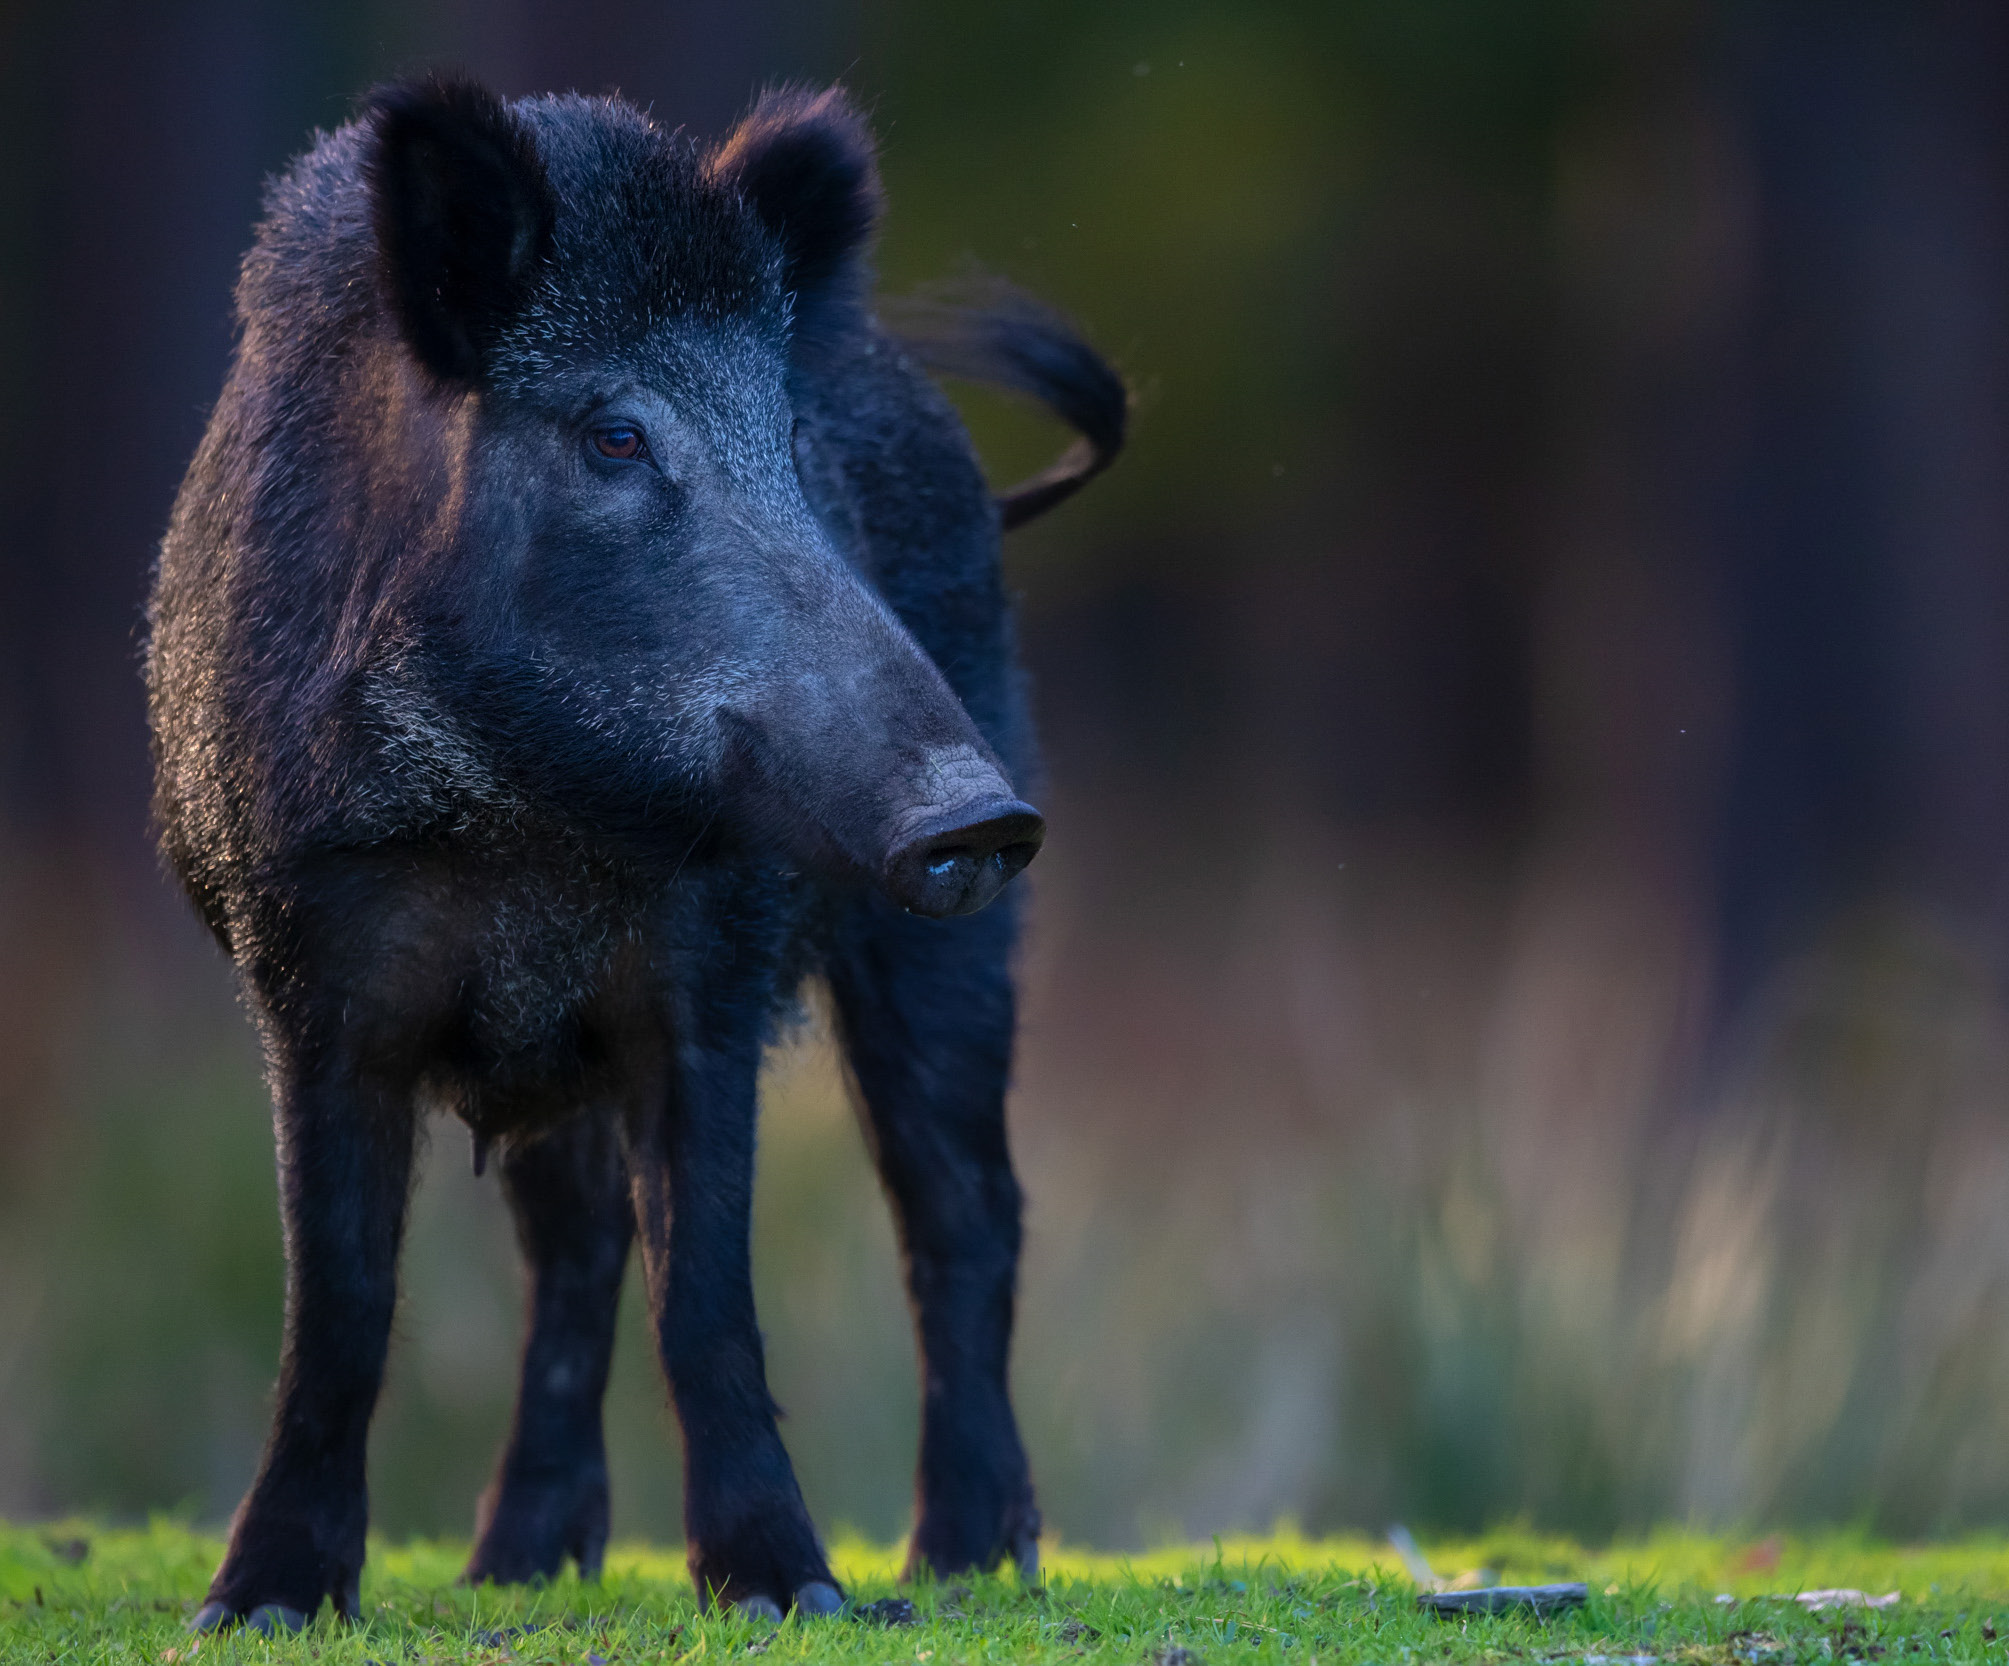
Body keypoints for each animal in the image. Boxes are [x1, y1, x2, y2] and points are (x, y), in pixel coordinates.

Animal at [144, 75, 1123, 1632]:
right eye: (615, 435)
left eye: (785, 444)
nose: (976, 812)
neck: (523, 816)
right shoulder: (311, 973)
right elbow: (341, 1299)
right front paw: (258, 1606)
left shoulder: (706, 981)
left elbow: (708, 1293)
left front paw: (789, 1595)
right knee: (576, 1249)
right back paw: (516, 1564)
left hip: (951, 947)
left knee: (964, 1208)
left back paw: (962, 1560)